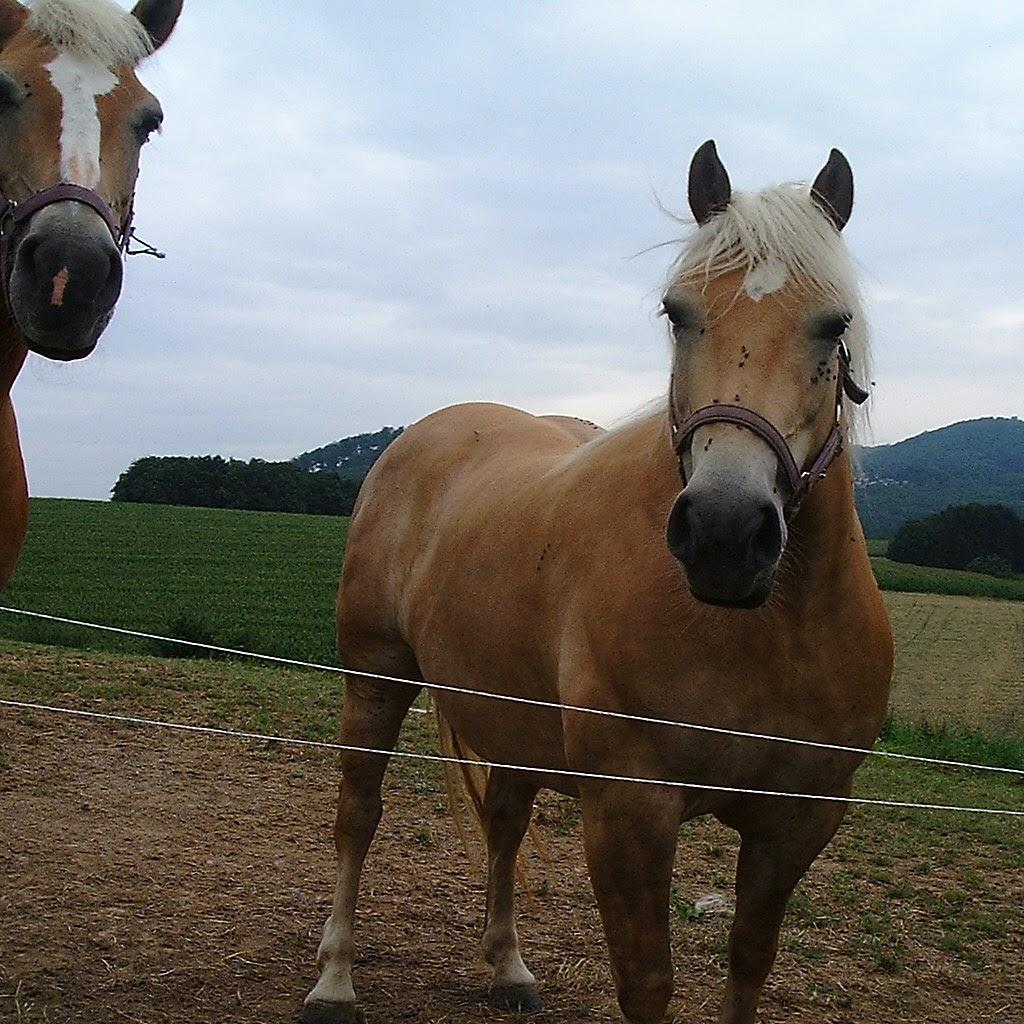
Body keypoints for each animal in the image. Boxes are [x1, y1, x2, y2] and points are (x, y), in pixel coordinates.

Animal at [299, 144, 892, 1024]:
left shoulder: (797, 823)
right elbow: (646, 981)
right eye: (677, 313)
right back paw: (334, 980)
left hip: (508, 717)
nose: (724, 534)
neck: (768, 634)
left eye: (835, 324)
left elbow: (749, 965)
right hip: (375, 676)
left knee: (504, 823)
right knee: (358, 816)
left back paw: (507, 969)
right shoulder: (628, 810)